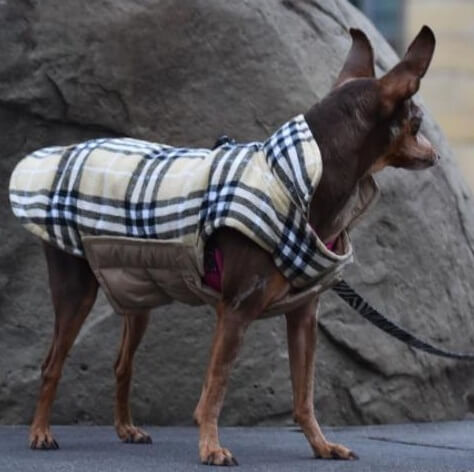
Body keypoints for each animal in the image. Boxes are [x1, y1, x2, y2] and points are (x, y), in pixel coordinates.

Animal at [21, 26, 436, 464]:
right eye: (417, 122)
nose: (434, 153)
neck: (302, 179)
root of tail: (63, 152)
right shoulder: (235, 311)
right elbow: (215, 388)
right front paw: (211, 447)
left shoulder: (303, 316)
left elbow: (303, 394)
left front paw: (321, 445)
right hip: (76, 289)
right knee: (52, 363)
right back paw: (40, 432)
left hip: (136, 287)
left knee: (122, 364)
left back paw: (125, 429)